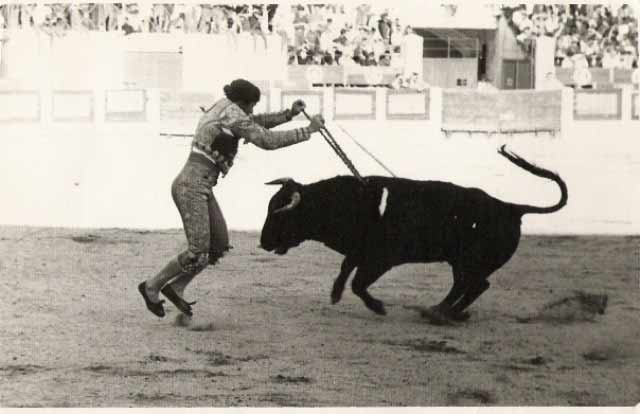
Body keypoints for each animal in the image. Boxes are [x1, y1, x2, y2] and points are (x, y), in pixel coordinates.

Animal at [258, 146, 568, 324]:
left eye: (280, 215)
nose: (262, 242)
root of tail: (511, 208)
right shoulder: (359, 253)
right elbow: (346, 270)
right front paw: (335, 294)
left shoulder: (381, 259)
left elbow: (358, 283)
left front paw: (378, 307)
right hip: (461, 263)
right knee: (471, 285)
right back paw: (445, 311)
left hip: (468, 261)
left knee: (474, 285)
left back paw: (440, 312)